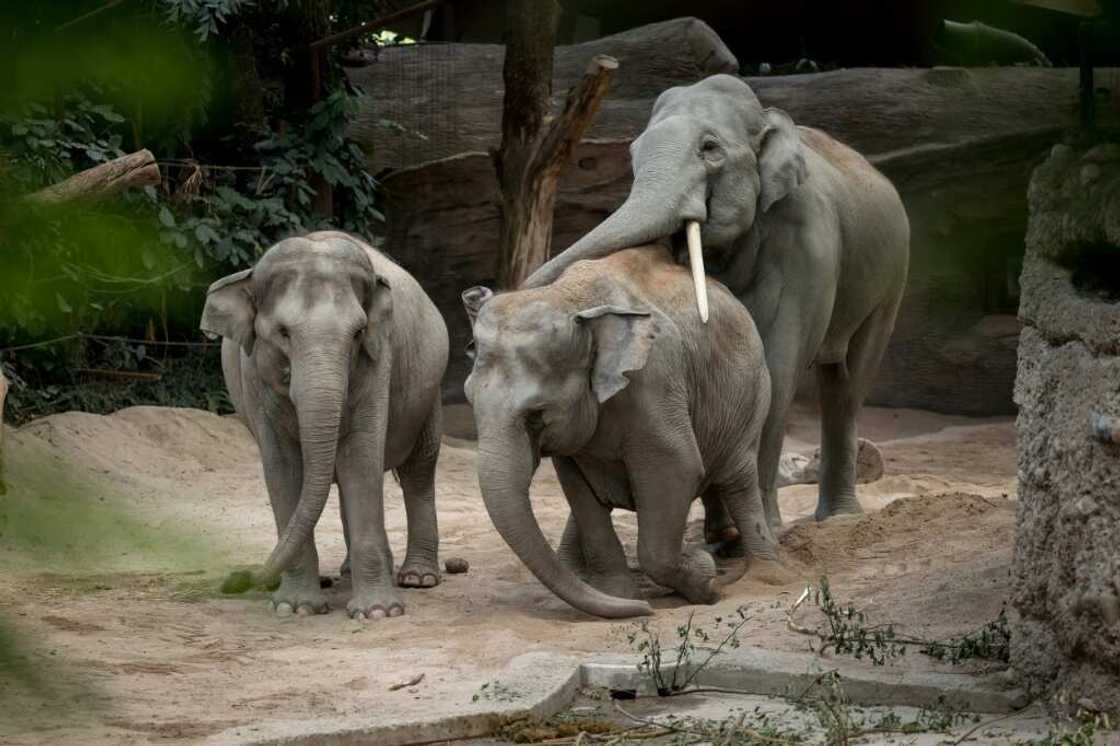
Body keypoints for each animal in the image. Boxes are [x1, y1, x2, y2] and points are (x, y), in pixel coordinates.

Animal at [200, 231, 449, 620]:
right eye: (283, 333)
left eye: (359, 332)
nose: (236, 580)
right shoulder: (253, 374)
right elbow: (283, 467)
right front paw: (295, 607)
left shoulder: (378, 359)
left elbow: (361, 456)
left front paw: (378, 612)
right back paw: (349, 573)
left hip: (429, 392)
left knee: (418, 470)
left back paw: (417, 578)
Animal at [462, 244, 778, 619]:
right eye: (469, 399)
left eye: (536, 415)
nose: (645, 609)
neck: (570, 299)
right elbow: (579, 491)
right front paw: (621, 595)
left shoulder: (654, 381)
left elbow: (678, 467)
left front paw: (704, 580)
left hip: (753, 395)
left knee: (738, 478)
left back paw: (766, 574)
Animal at [523, 74, 910, 530]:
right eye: (633, 153)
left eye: (710, 148)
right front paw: (721, 536)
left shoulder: (807, 239)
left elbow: (777, 366)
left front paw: (767, 530)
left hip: (891, 279)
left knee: (847, 385)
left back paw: (839, 519)